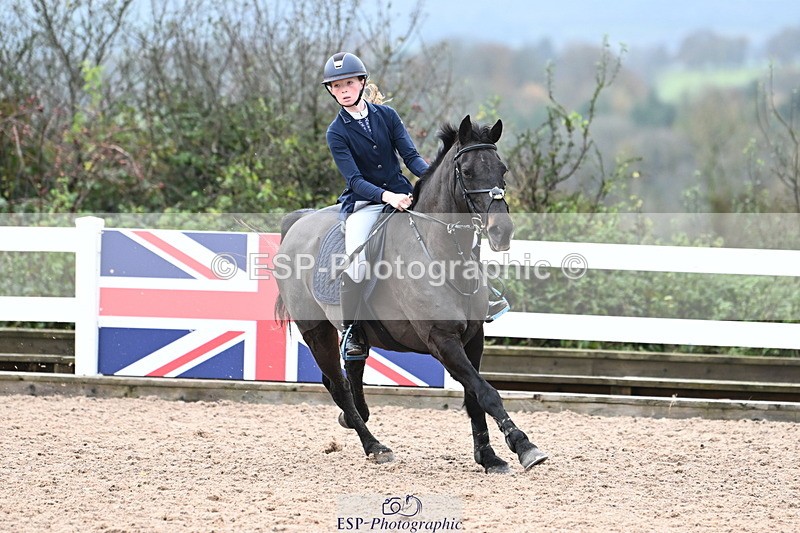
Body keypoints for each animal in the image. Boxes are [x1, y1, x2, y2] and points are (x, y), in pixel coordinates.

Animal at [274, 115, 548, 473]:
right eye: (467, 172)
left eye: (502, 170)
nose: (502, 232)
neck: (442, 252)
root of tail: (298, 222)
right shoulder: (442, 339)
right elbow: (486, 392)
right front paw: (524, 446)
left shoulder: (473, 338)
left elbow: (474, 396)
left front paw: (488, 457)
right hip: (316, 331)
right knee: (339, 385)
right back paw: (375, 446)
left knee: (352, 372)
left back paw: (356, 419)